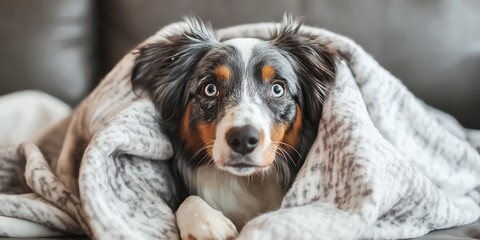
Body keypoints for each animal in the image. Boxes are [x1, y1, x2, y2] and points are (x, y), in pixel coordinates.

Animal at [129, 15, 336, 239]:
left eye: (277, 89)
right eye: (210, 89)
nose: (243, 139)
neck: (247, 182)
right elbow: (186, 200)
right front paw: (207, 223)